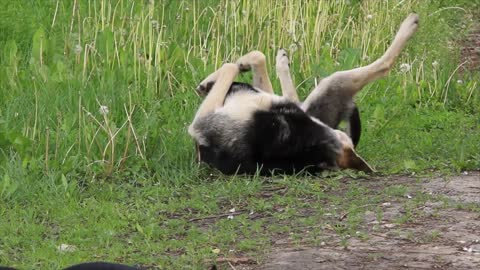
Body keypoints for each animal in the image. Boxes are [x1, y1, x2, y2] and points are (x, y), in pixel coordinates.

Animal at [189, 13, 418, 175]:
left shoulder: (202, 121)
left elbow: (229, 66)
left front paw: (216, 79)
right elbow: (254, 58)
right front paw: (215, 78)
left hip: (334, 82)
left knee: (383, 65)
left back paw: (410, 23)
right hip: (317, 95)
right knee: (284, 87)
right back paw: (280, 60)